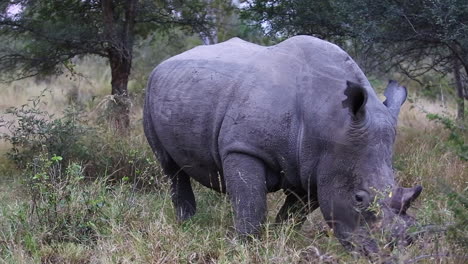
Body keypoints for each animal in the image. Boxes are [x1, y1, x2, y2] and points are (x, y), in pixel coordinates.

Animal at [144, 36, 424, 255]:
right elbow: (250, 203)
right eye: (359, 198)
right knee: (170, 167)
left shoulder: (316, 167)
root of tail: (166, 62)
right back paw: (186, 223)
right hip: (152, 88)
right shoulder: (243, 147)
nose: (389, 252)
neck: (329, 118)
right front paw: (246, 247)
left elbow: (294, 213)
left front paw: (279, 239)